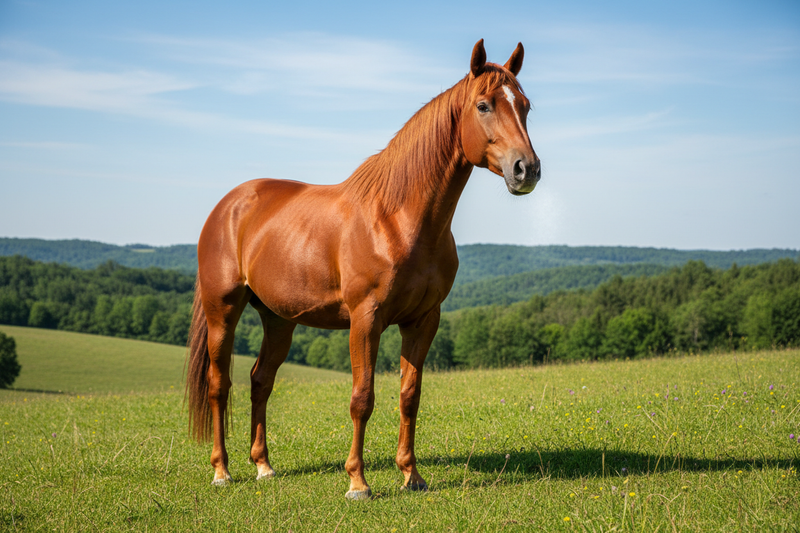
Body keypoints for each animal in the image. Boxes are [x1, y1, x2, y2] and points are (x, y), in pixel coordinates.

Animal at [185, 39, 541, 499]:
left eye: (526, 106)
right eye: (483, 105)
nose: (526, 169)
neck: (398, 218)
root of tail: (229, 205)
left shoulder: (423, 320)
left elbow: (410, 395)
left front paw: (411, 475)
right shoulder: (365, 319)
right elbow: (362, 397)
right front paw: (358, 482)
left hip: (279, 319)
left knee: (260, 379)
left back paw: (263, 465)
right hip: (222, 312)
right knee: (219, 385)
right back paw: (222, 471)